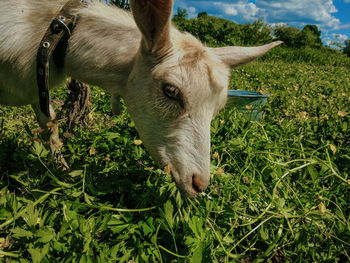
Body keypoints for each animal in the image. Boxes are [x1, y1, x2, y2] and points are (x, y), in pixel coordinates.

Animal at [0, 0, 280, 196]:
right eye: (171, 91)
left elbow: (50, 126)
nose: (199, 184)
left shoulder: (40, 91)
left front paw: (61, 171)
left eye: (217, 107)